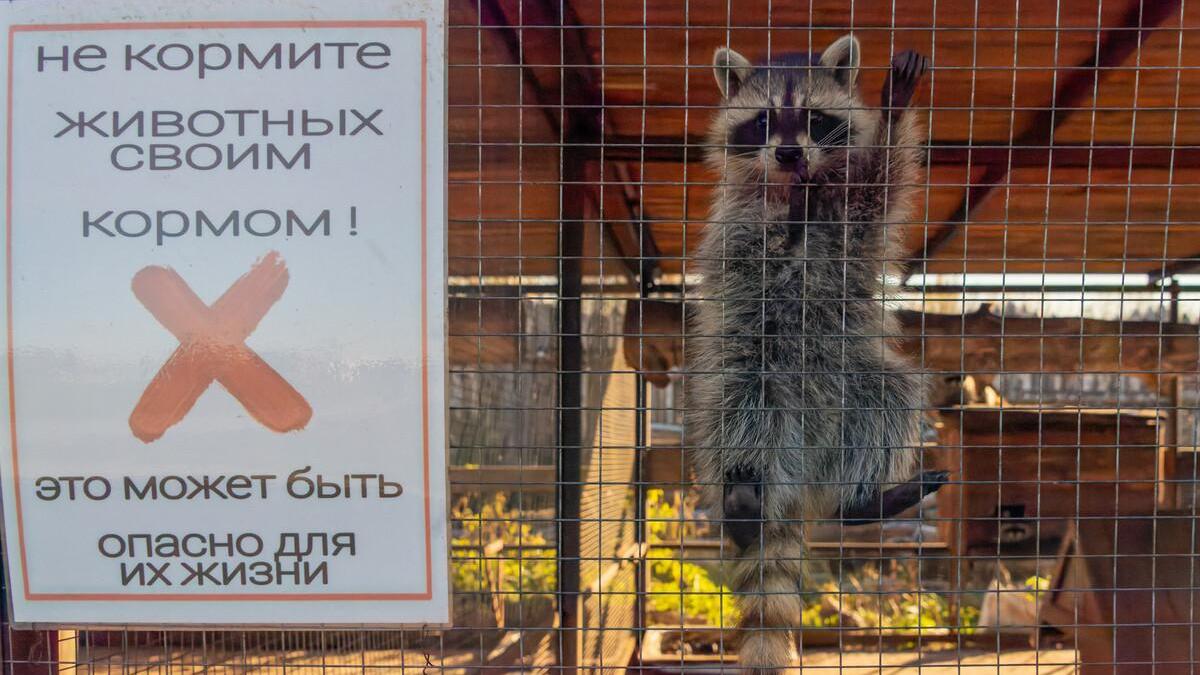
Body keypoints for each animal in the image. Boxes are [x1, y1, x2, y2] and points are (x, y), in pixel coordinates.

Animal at [686, 35, 936, 667]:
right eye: (764, 120)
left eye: (815, 120)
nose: (789, 155)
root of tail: (798, 468)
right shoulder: (734, 222)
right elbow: (754, 255)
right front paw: (789, 223)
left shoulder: (850, 213)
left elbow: (880, 186)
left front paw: (894, 108)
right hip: (749, 371)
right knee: (739, 409)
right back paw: (744, 500)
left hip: (852, 375)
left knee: (890, 395)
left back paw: (863, 501)